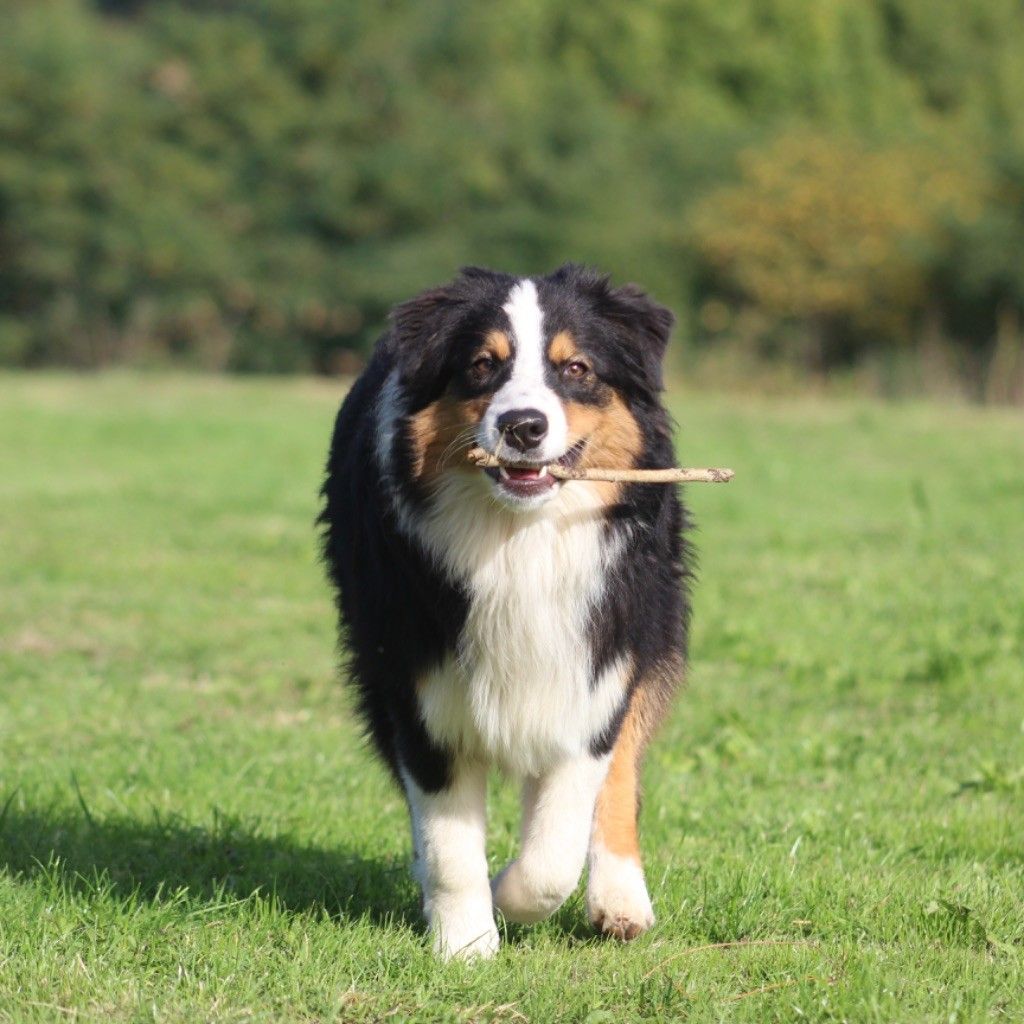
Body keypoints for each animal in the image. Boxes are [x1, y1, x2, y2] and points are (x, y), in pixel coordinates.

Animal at [317, 264, 688, 958]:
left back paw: (621, 901)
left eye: (576, 369)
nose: (523, 426)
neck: (521, 539)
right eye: (482, 365)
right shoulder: (419, 690)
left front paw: (509, 897)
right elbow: (448, 844)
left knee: (620, 776)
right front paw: (465, 943)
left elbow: (553, 855)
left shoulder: (591, 675)